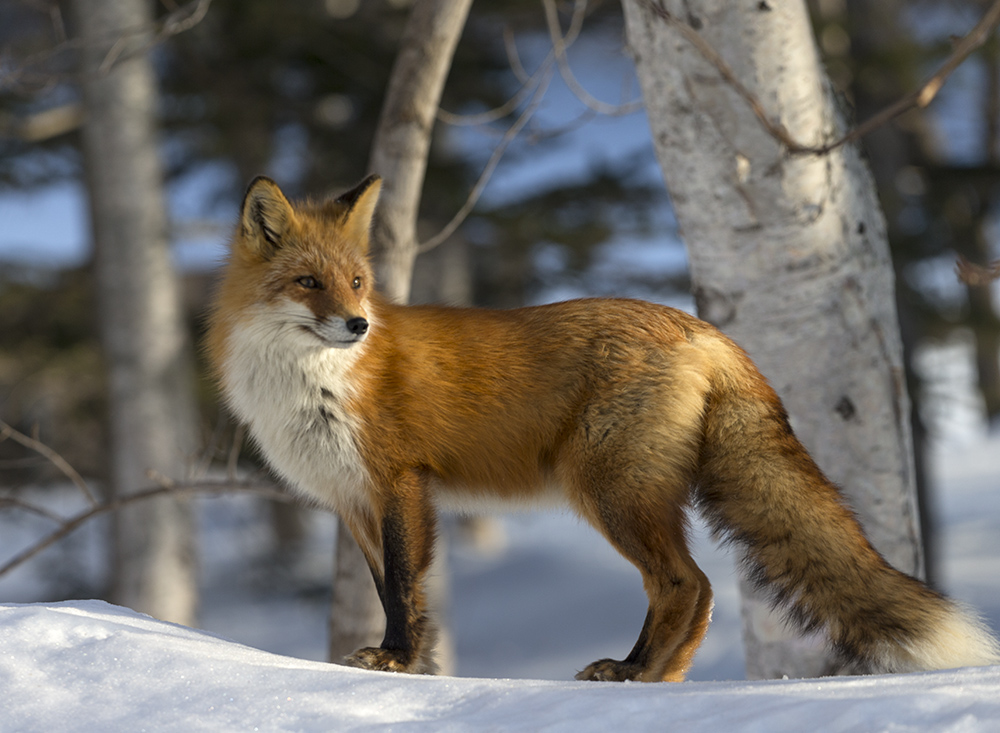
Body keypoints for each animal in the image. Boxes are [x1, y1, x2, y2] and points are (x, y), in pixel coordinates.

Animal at [205, 176, 1000, 680]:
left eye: (357, 283)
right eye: (309, 283)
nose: (359, 324)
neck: (310, 385)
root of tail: (703, 329)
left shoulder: (399, 482)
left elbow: (403, 589)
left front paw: (396, 662)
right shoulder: (353, 499)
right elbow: (392, 590)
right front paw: (416, 668)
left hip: (609, 491)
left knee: (685, 582)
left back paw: (635, 670)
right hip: (626, 494)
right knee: (693, 590)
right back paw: (657, 679)